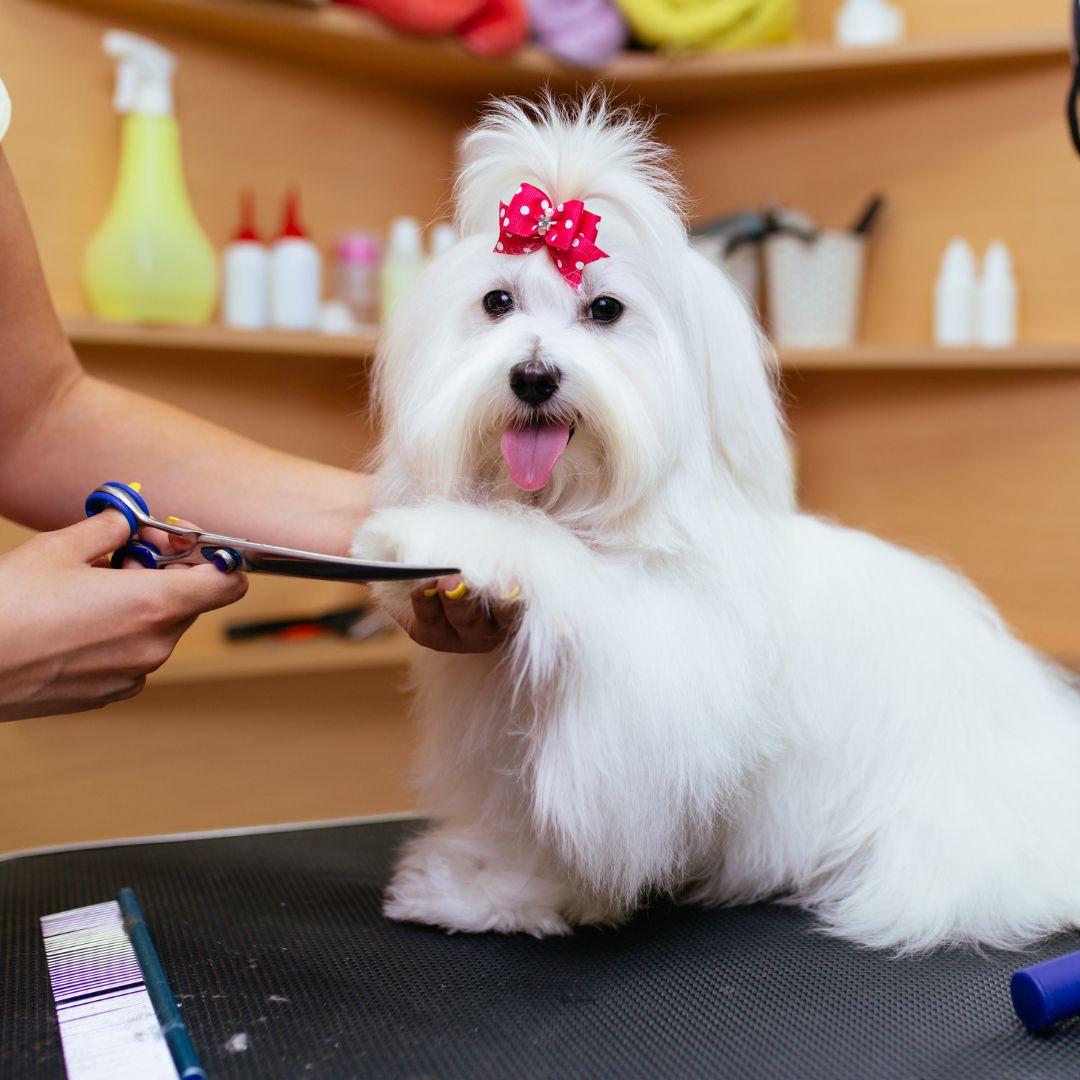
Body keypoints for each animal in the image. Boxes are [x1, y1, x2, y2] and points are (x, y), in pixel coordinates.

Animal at [358, 95, 1080, 954]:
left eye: (605, 310)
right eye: (497, 303)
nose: (533, 375)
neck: (585, 508)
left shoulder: (654, 688)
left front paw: (447, 536)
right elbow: (527, 828)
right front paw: (488, 890)